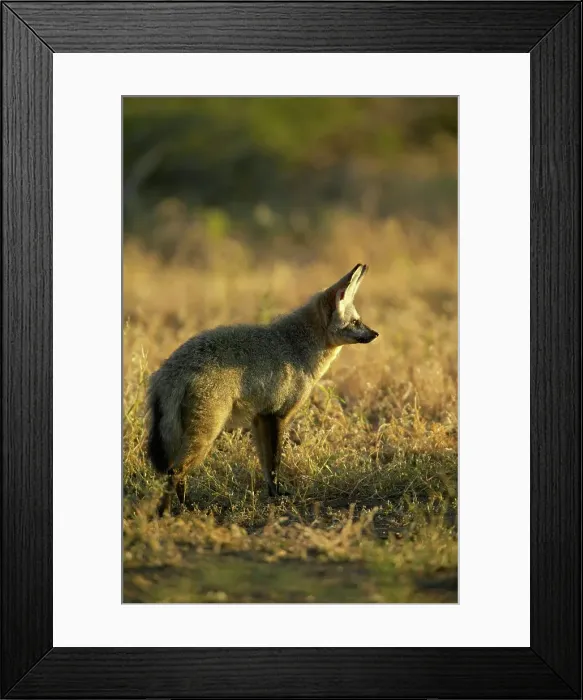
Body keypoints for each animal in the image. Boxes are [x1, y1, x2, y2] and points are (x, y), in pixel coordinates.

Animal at [147, 263, 378, 516]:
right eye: (355, 322)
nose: (375, 334)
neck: (296, 346)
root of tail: (172, 368)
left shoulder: (259, 418)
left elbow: (266, 466)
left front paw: (272, 494)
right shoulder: (277, 415)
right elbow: (275, 462)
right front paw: (278, 495)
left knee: (175, 474)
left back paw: (182, 507)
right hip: (205, 436)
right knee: (175, 472)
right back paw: (170, 511)